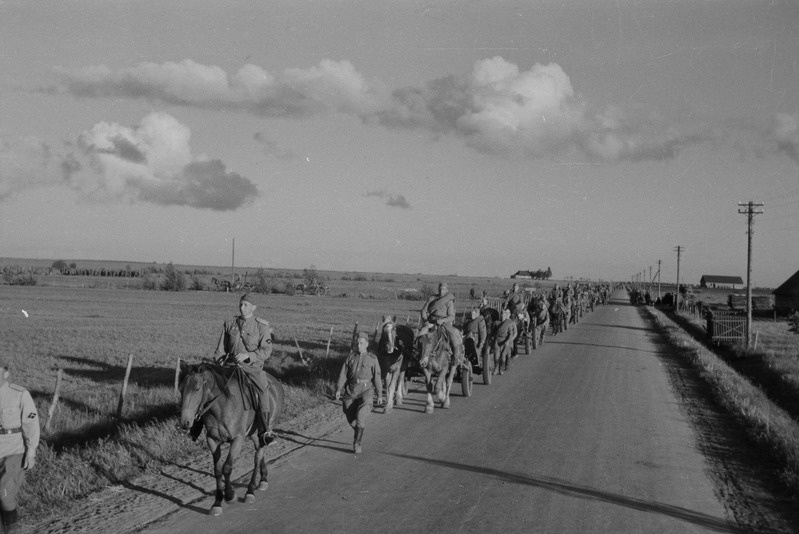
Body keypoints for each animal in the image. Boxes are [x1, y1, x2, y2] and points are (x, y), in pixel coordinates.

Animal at [180, 362, 286, 516]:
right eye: (180, 389)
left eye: (197, 388)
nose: (184, 422)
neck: (222, 407)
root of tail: (275, 381)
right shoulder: (212, 441)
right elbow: (218, 470)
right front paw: (217, 502)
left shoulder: (237, 439)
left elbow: (227, 468)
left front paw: (230, 495)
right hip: (253, 433)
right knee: (258, 451)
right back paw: (263, 479)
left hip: (267, 426)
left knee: (257, 456)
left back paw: (250, 491)